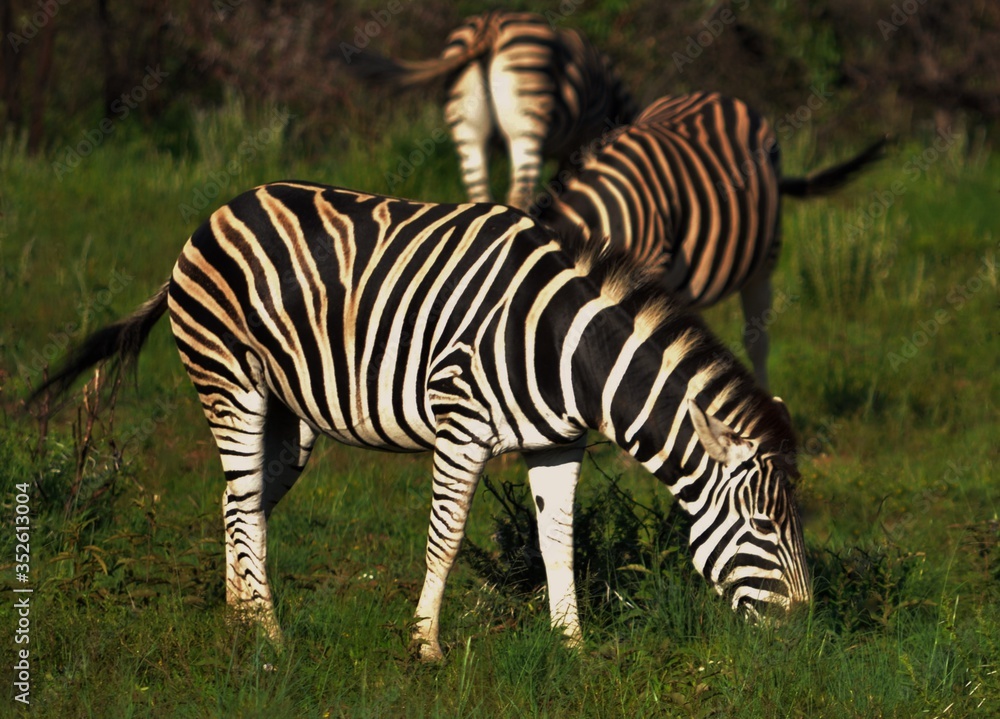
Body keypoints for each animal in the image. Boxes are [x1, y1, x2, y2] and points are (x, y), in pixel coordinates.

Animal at [35, 181, 808, 664]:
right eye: (764, 527)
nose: (804, 631)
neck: (561, 347)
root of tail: (218, 214)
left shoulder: (558, 443)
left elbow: (559, 543)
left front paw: (573, 649)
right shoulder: (461, 422)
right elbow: (446, 536)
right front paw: (426, 646)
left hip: (290, 417)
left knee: (239, 502)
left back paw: (241, 623)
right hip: (231, 381)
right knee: (242, 500)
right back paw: (272, 639)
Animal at [344, 9, 636, 211]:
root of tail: (489, 24)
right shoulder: (586, 140)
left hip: (468, 127)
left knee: (479, 191)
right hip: (526, 122)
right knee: (519, 193)